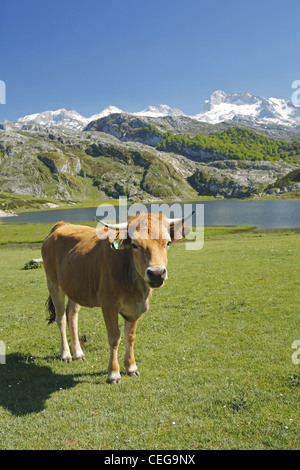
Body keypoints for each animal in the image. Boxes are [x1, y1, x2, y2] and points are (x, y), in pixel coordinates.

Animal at [41, 211, 191, 384]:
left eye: (168, 243)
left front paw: (131, 367)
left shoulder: (135, 308)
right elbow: (114, 338)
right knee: (61, 318)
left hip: (74, 287)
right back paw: (66, 354)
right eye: (134, 245)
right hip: (53, 284)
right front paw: (113, 374)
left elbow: (130, 337)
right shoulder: (108, 304)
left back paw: (78, 353)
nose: (157, 273)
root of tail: (61, 224)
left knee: (72, 315)